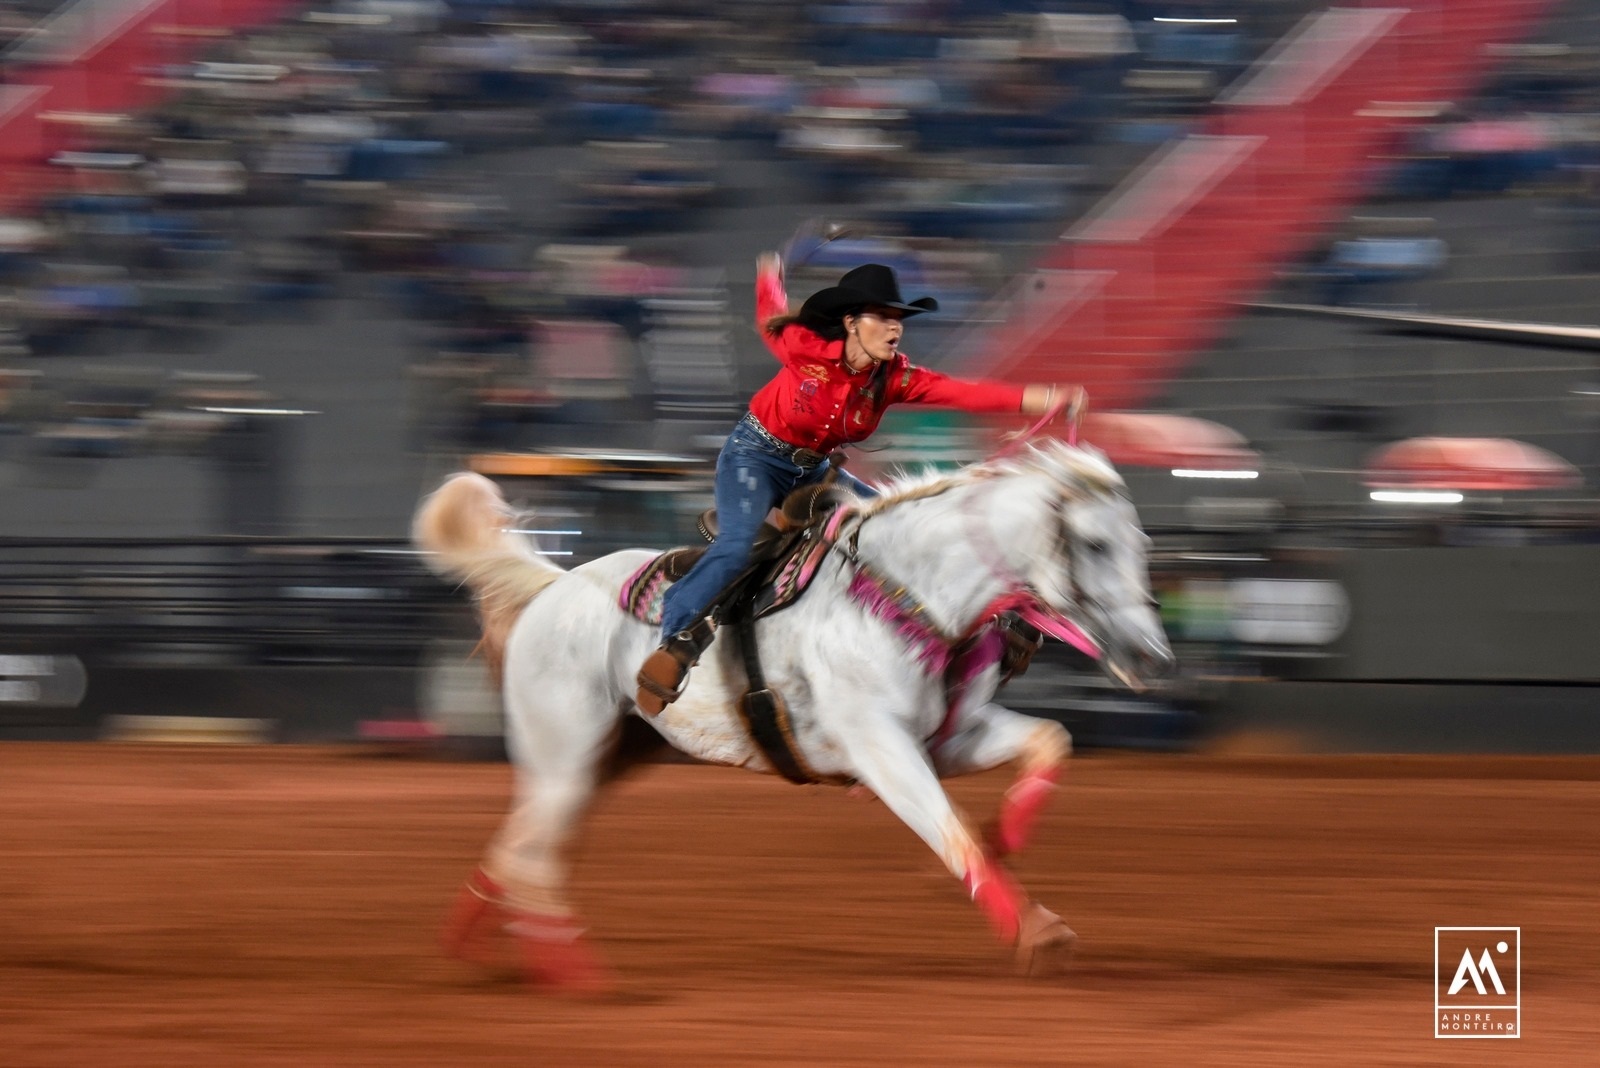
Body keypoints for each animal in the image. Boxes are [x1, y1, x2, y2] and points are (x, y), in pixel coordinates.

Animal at [412, 438, 1177, 991]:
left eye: (1142, 544)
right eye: (1095, 545)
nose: (1153, 657)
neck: (908, 593)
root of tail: (553, 586)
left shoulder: (952, 737)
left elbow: (1052, 740)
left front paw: (1005, 838)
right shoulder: (881, 749)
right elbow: (949, 829)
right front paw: (1039, 934)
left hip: (609, 755)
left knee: (520, 842)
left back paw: (468, 946)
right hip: (563, 749)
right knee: (536, 854)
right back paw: (581, 977)